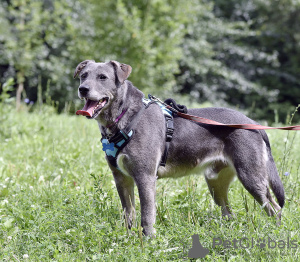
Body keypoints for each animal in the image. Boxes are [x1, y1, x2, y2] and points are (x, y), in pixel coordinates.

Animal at [74, 60, 284, 236]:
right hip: (216, 182)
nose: (82, 89)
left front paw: (147, 241)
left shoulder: (145, 177)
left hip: (252, 177)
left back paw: (276, 232)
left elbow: (146, 214)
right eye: (84, 75)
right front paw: (128, 238)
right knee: (229, 212)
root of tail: (253, 124)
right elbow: (129, 213)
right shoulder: (121, 178)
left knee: (275, 208)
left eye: (103, 77)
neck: (123, 117)